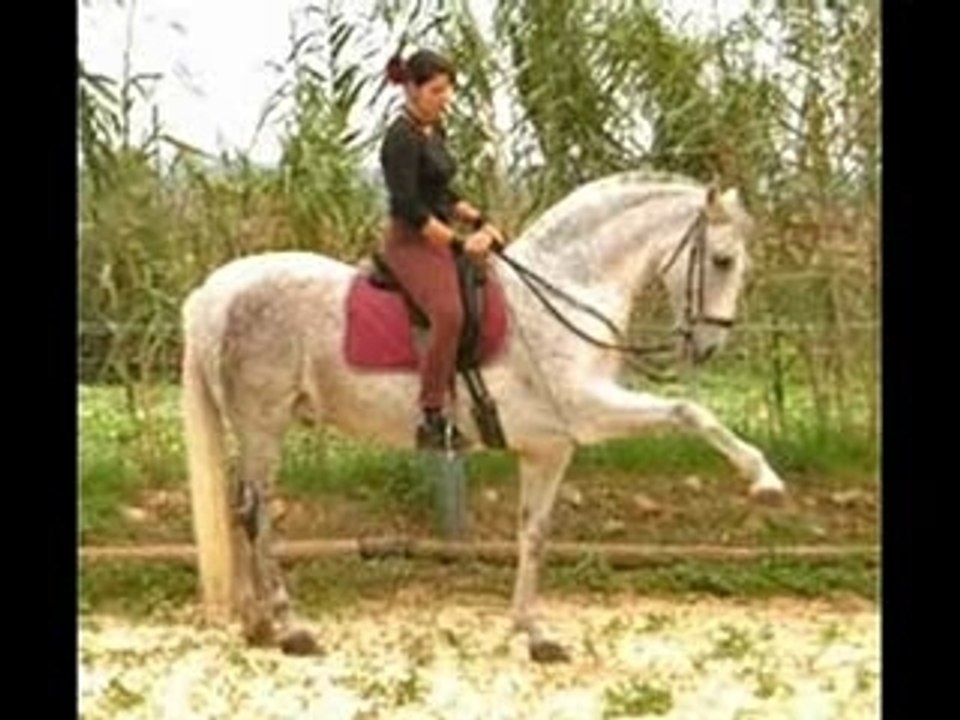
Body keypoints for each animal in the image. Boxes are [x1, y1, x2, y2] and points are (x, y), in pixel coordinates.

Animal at [180, 170, 786, 662]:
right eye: (723, 261)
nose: (707, 347)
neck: (562, 294)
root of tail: (214, 292)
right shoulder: (588, 411)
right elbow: (690, 411)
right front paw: (766, 482)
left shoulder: (549, 448)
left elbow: (533, 533)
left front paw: (534, 634)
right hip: (263, 425)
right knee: (256, 513)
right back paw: (290, 628)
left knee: (239, 509)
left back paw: (257, 625)